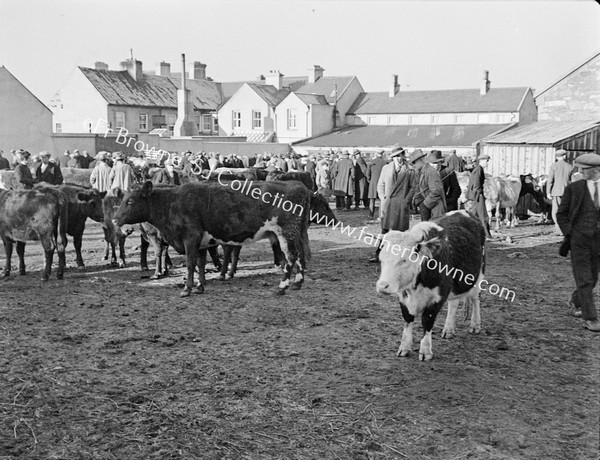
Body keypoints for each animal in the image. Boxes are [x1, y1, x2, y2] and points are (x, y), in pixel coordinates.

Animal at [113, 180, 310, 298]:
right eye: (122, 200)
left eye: (130, 201)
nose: (115, 219)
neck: (170, 202)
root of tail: (298, 185)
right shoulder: (200, 243)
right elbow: (201, 264)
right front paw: (200, 286)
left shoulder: (190, 238)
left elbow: (190, 264)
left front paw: (187, 289)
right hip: (294, 233)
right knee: (300, 255)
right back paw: (297, 283)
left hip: (285, 232)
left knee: (291, 257)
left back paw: (282, 286)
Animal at [376, 210, 488, 362]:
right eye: (381, 259)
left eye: (404, 260)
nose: (382, 286)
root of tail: (465, 212)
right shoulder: (403, 297)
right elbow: (407, 319)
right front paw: (404, 347)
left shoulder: (438, 296)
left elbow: (427, 320)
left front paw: (425, 351)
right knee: (454, 304)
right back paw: (448, 329)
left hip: (478, 275)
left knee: (476, 299)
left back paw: (475, 325)